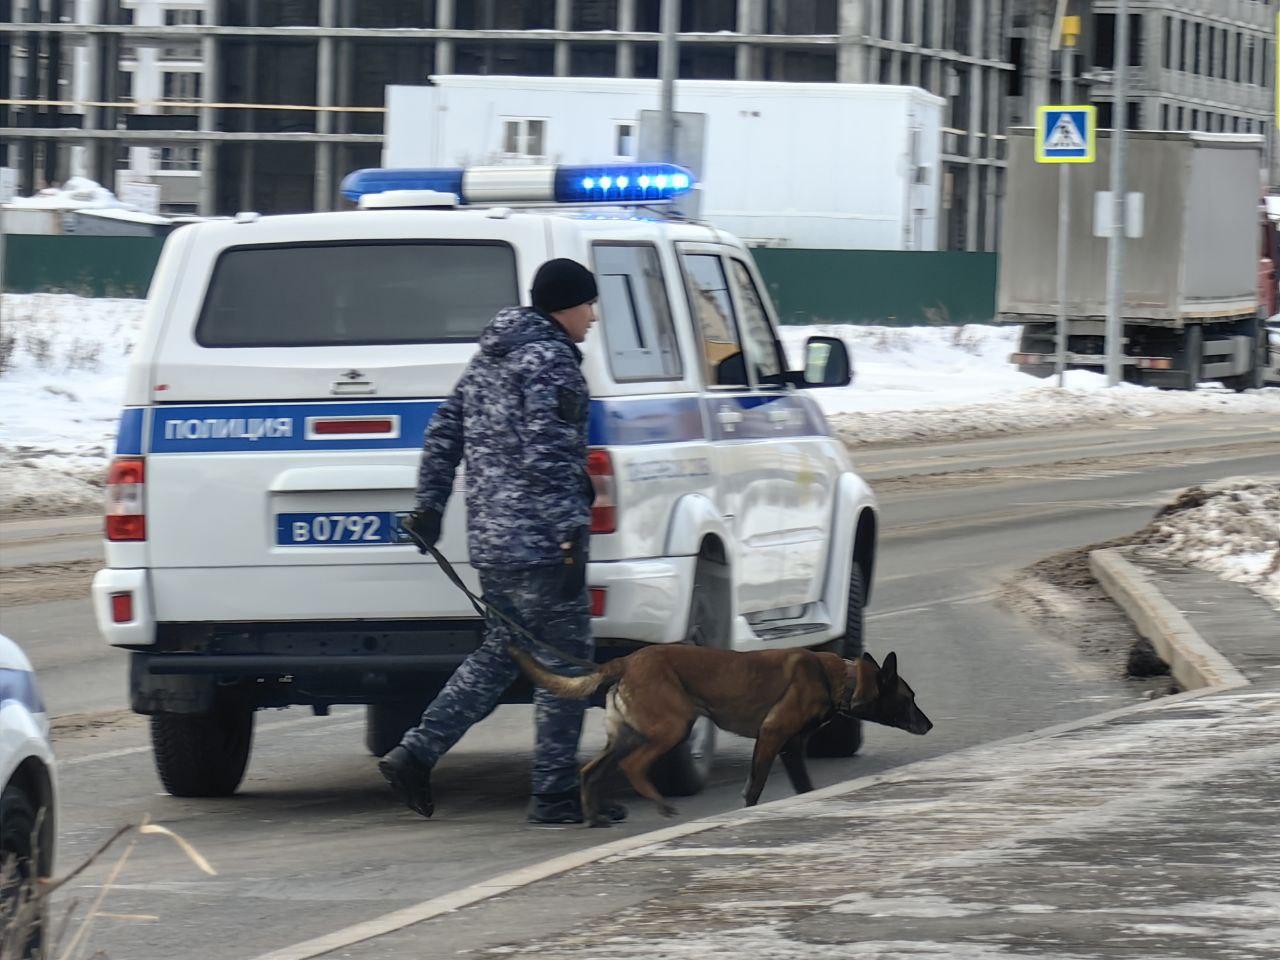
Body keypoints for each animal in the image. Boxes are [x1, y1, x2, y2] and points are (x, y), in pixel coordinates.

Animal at [509, 647, 931, 829]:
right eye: (909, 698)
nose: (929, 725)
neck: (840, 678)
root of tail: (625, 661)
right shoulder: (772, 735)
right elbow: (754, 788)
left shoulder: (791, 749)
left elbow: (804, 787)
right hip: (672, 727)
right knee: (633, 766)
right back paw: (660, 805)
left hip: (625, 736)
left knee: (591, 772)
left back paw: (594, 816)